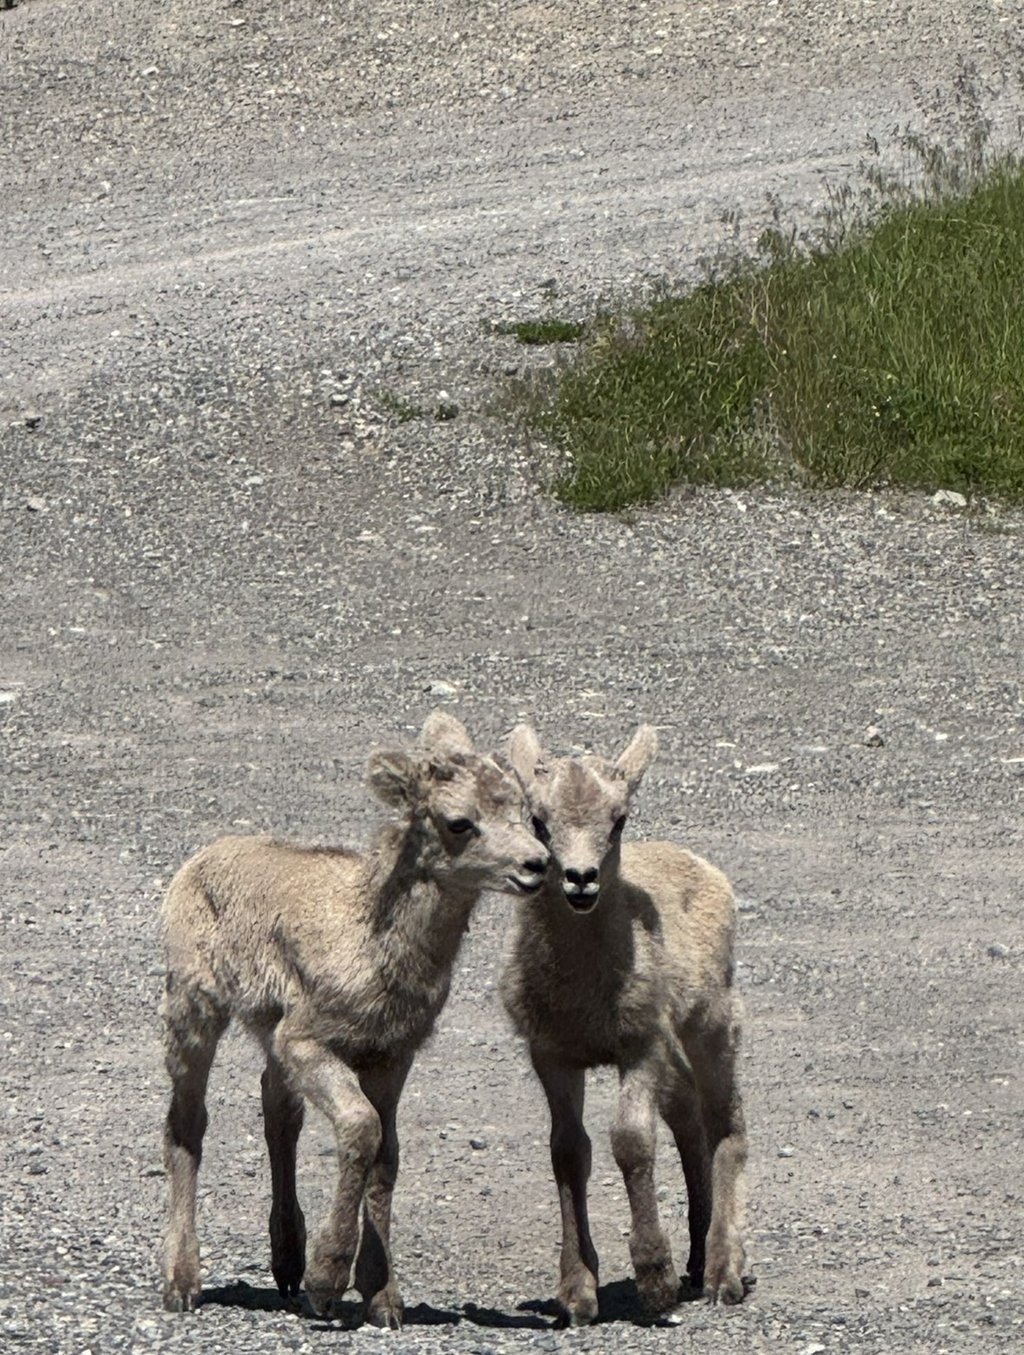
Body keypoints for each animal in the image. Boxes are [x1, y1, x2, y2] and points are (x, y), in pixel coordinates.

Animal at [160, 711, 549, 1326]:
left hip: (266, 1030)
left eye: (528, 813)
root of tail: (195, 863)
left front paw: (383, 1299)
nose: (536, 866)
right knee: (187, 1122)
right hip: (195, 1004)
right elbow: (361, 1130)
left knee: (277, 1110)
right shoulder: (308, 1040)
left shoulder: (391, 1054)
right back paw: (183, 1283)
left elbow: (385, 1156)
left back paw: (286, 1267)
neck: (373, 945)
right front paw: (328, 1283)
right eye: (459, 822)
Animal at [500, 723, 749, 1325]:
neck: (585, 993)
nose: (580, 880)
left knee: (725, 1122)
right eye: (538, 820)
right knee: (688, 1117)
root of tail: (706, 870)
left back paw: (722, 1273)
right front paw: (578, 1295)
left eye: (618, 819)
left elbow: (632, 1142)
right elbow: (568, 1152)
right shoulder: (553, 1055)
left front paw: (654, 1281)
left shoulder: (638, 1045)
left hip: (712, 1023)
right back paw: (695, 1259)